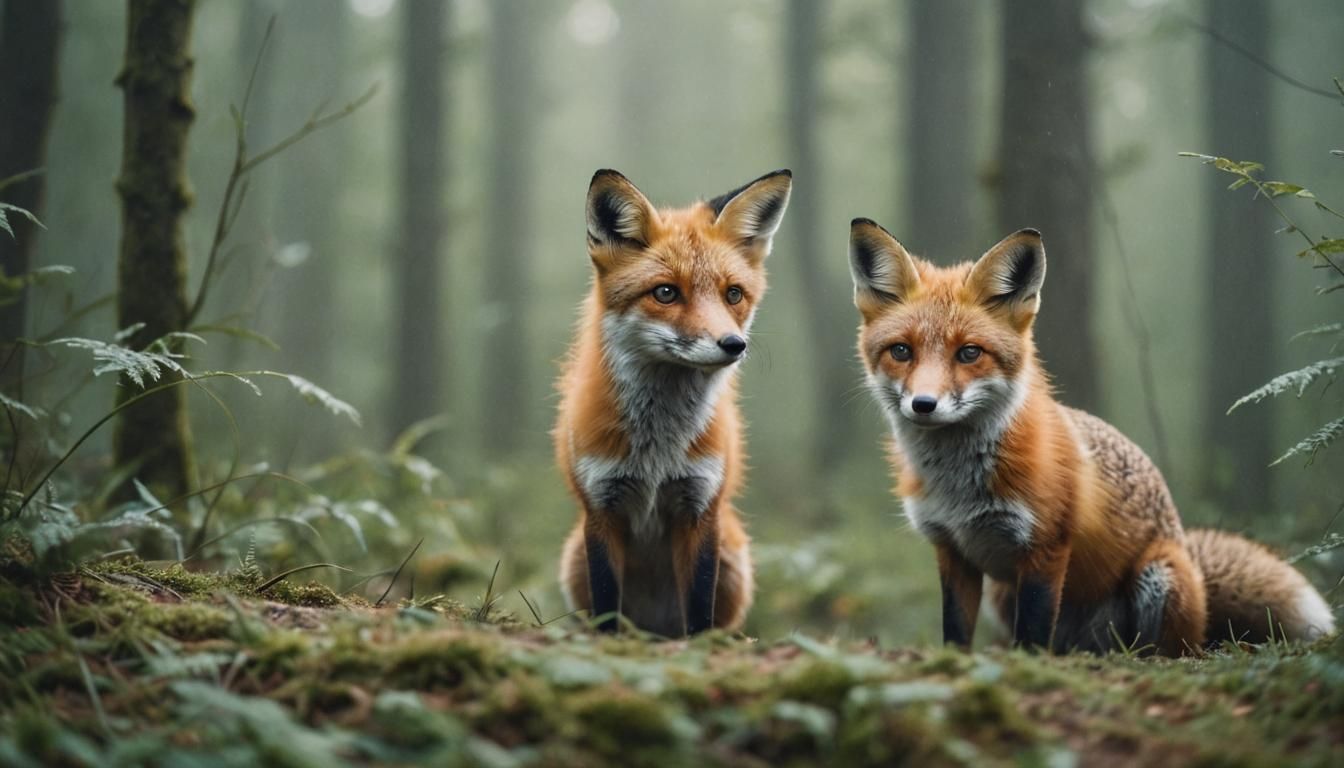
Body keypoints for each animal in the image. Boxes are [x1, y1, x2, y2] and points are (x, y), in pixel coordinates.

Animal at [555, 168, 792, 637]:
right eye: (665, 293)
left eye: (733, 294)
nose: (733, 344)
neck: (657, 451)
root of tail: (653, 626)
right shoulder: (601, 507)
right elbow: (607, 604)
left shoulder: (700, 506)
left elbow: (699, 609)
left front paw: (702, 647)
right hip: (573, 557)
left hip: (734, 555)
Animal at [847, 218, 1335, 655]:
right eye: (901, 351)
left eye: (969, 353)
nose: (923, 404)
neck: (959, 486)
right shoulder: (953, 551)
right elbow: (955, 633)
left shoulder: (1045, 548)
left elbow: (1032, 637)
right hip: (1004, 596)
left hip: (1158, 577)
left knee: (1163, 651)